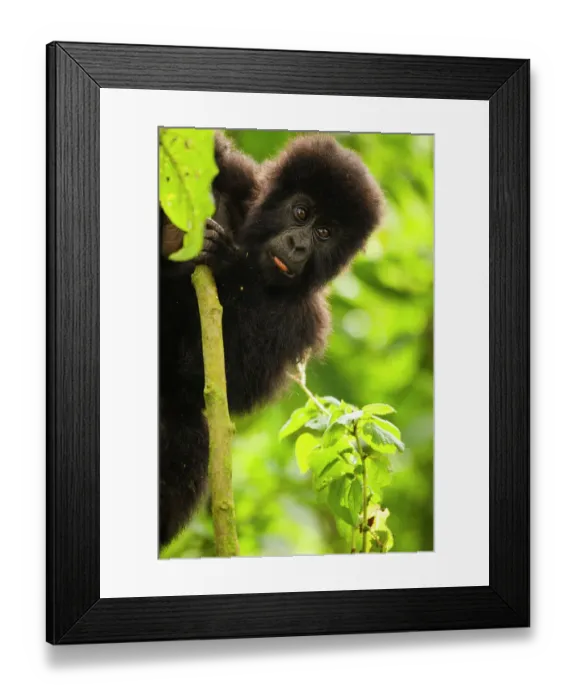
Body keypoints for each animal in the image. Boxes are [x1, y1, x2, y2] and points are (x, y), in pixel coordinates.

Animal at [159, 132, 385, 548]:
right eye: (301, 213)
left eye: (325, 232)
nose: (298, 245)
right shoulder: (239, 178)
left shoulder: (304, 320)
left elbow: (211, 379)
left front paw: (226, 260)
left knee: (189, 427)